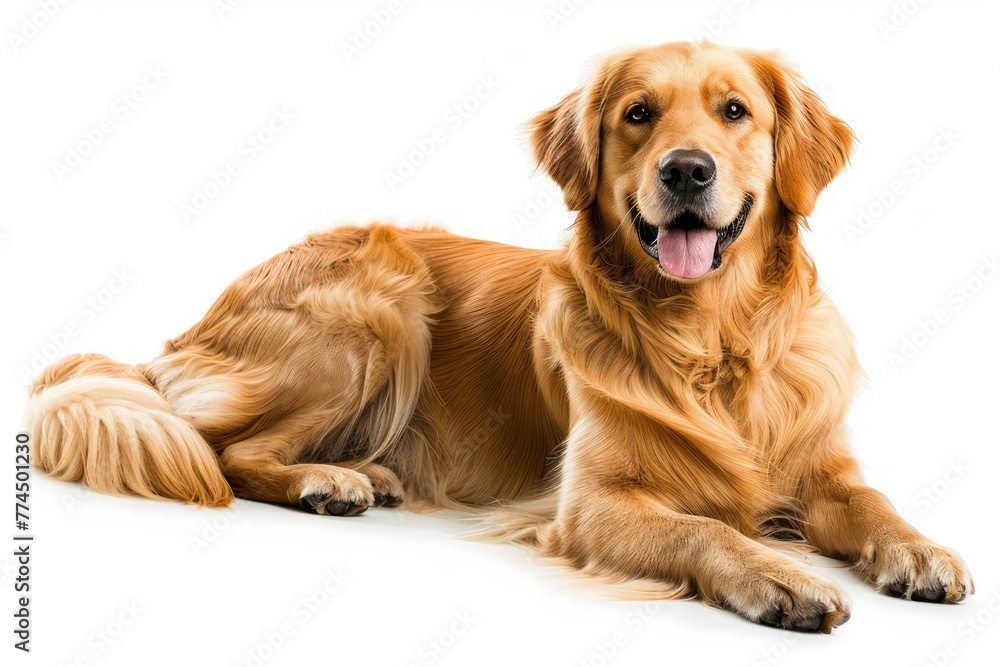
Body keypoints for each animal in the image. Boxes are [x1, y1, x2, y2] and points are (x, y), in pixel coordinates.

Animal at [27, 40, 972, 632]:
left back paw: (368, 472)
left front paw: (921, 550)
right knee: (227, 450)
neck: (711, 338)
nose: (686, 170)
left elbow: (874, 502)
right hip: (381, 306)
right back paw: (327, 481)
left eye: (735, 111)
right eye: (638, 114)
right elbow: (705, 530)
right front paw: (779, 575)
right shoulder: (591, 503)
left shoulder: (821, 464)